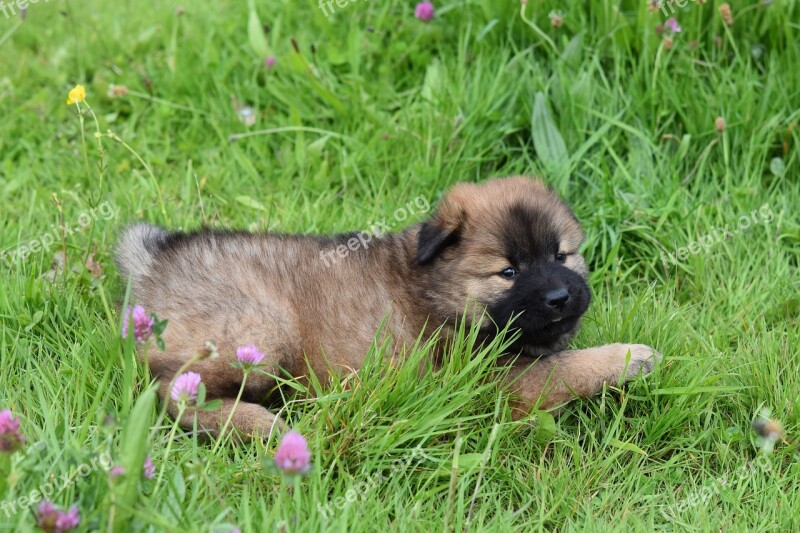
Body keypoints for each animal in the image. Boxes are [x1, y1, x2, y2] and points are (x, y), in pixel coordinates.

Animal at [115, 178, 660, 436]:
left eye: (561, 255)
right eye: (507, 272)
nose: (560, 297)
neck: (437, 289)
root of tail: (156, 259)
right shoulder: (495, 378)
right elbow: (564, 369)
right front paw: (629, 357)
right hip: (261, 331)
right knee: (172, 393)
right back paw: (257, 424)